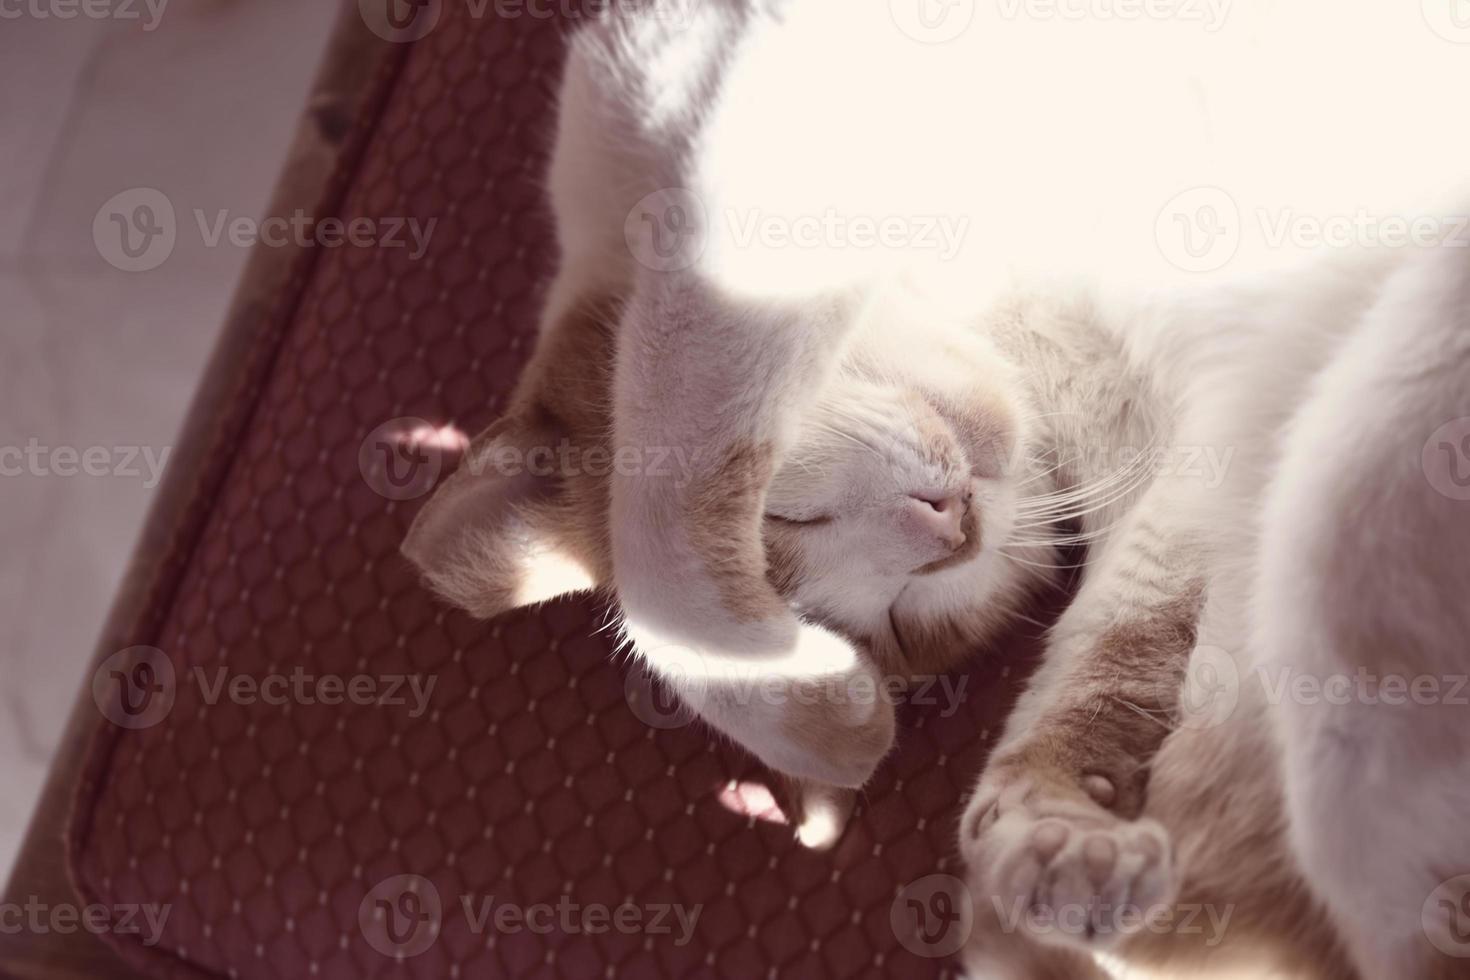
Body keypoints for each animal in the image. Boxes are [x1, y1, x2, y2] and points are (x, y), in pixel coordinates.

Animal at [399, 3, 1470, 975]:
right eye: (908, 618)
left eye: (785, 516)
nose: (948, 529)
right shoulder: (1192, 460)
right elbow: (1108, 654)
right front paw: (1045, 829)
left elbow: (664, 493)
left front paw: (823, 715)